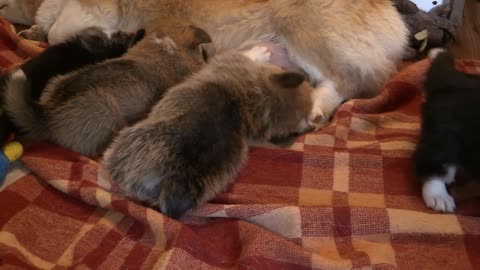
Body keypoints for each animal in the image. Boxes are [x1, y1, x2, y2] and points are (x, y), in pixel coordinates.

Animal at [3, 0, 408, 127]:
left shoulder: (90, 10)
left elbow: (59, 30)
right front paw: (35, 29)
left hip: (301, 26)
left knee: (349, 82)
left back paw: (318, 108)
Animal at [102, 47, 318, 218]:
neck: (260, 101)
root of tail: (173, 182)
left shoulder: (226, 62)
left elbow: (243, 54)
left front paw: (258, 52)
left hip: (123, 146)